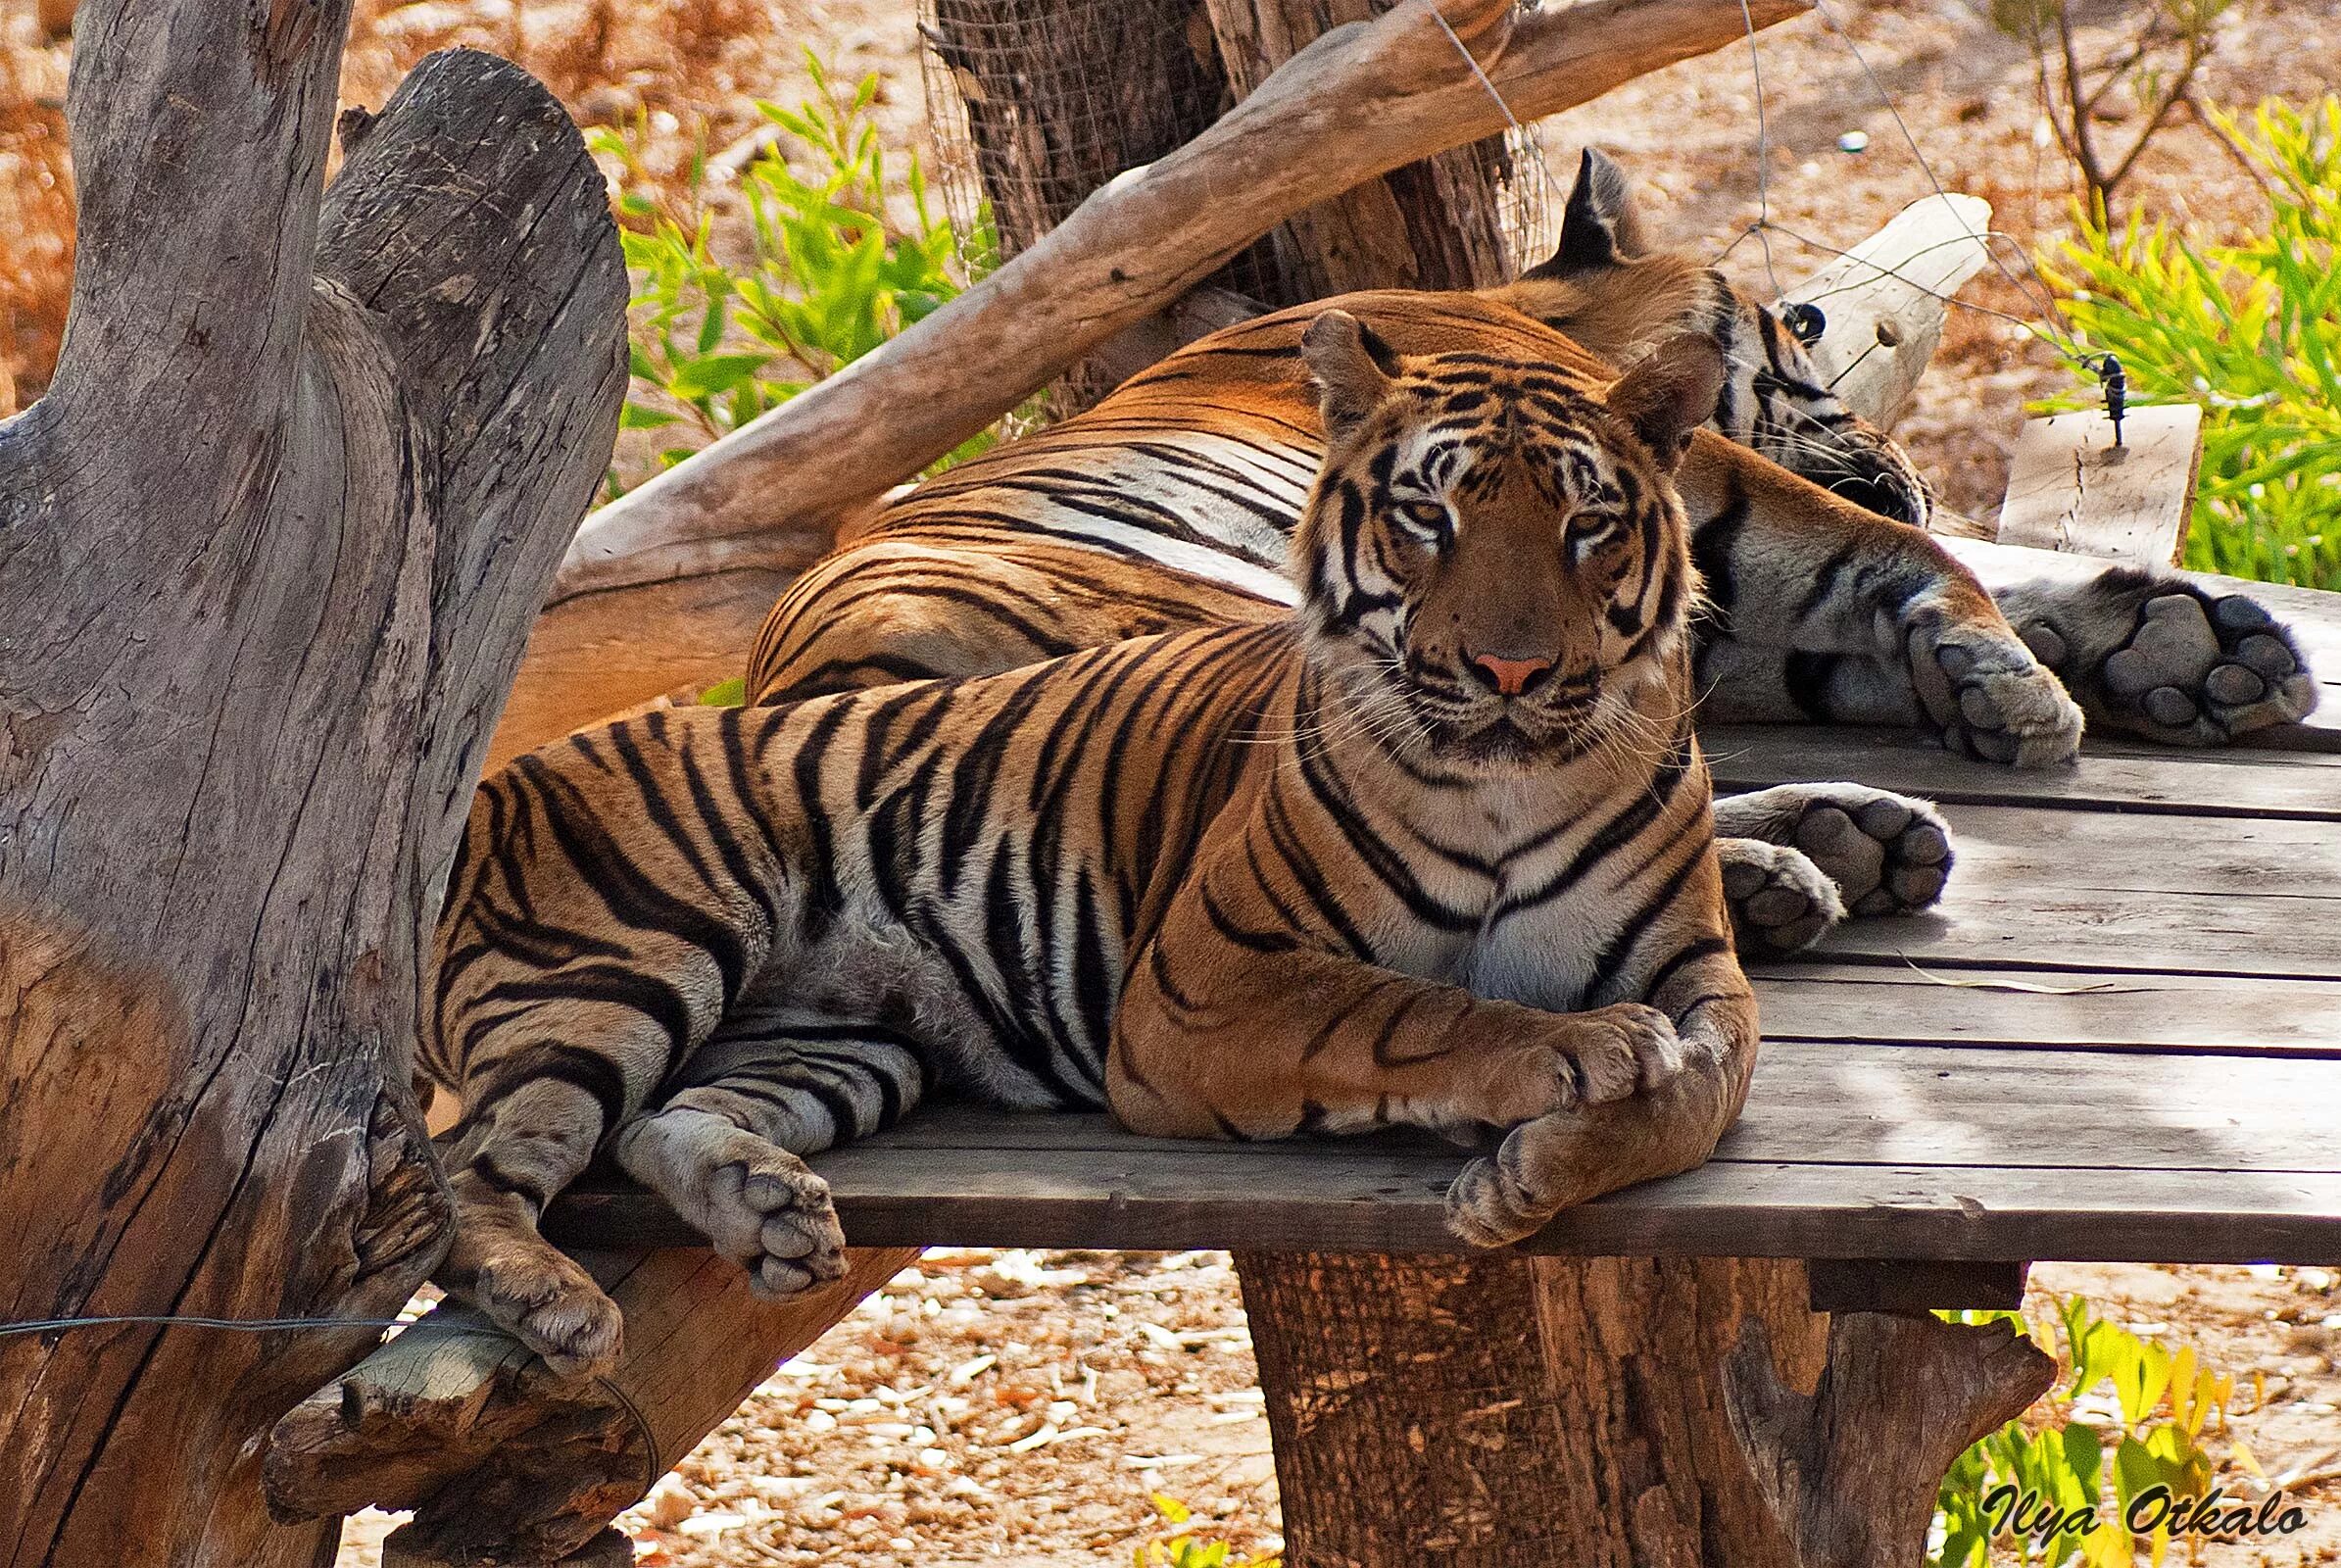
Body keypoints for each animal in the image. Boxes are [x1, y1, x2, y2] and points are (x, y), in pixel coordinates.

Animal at [430, 324, 1760, 1385]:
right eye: (1425, 516)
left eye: (1587, 524)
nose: (1510, 671)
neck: (1503, 790)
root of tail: (488, 789)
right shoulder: (1203, 983)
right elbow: (1413, 1010)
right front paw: (1581, 1058)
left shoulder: (1698, 970)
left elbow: (1702, 1090)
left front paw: (1539, 1167)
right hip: (622, 961)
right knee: (469, 1169)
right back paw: (557, 1302)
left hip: (839, 1045)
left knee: (656, 1122)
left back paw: (770, 1216)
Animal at [744, 151, 2303, 959]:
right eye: (1804, 338)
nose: (1906, 451)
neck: (1525, 305)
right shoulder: (1690, 496)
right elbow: (1886, 556)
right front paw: (2016, 682)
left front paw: (2183, 652)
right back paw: (1796, 868)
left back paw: (1832, 846)